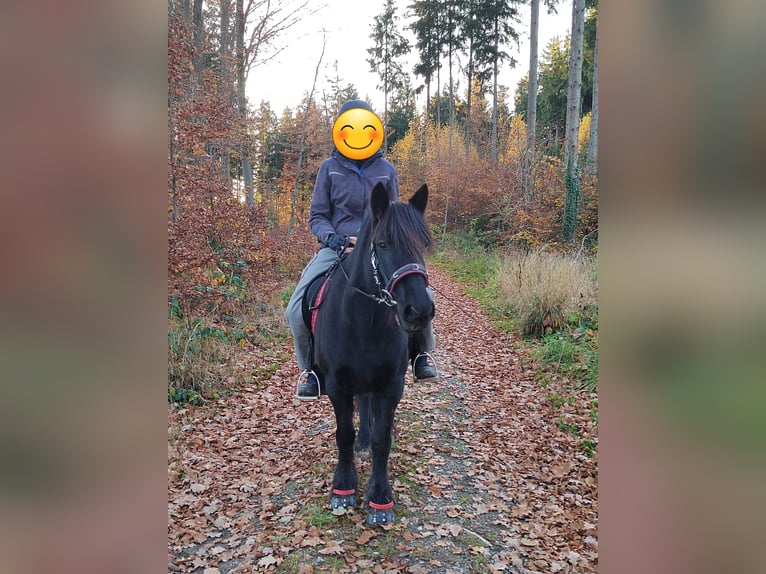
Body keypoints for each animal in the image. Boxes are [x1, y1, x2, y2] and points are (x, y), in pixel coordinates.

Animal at [311, 182, 434, 526]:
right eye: (382, 243)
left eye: (424, 244)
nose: (420, 311)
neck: (363, 319)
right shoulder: (337, 385)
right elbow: (344, 434)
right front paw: (343, 488)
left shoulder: (391, 385)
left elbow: (382, 440)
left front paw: (379, 498)